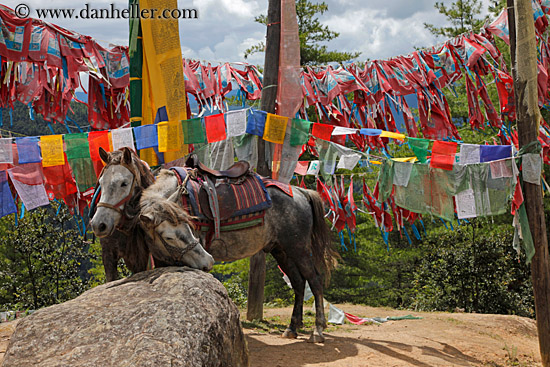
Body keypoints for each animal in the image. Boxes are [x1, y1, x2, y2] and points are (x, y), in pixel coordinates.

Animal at [140, 169, 338, 342]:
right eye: (168, 236)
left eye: (190, 225)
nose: (209, 261)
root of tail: (301, 192)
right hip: (281, 250)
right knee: (298, 282)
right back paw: (292, 328)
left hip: (298, 249)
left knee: (315, 280)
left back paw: (318, 330)